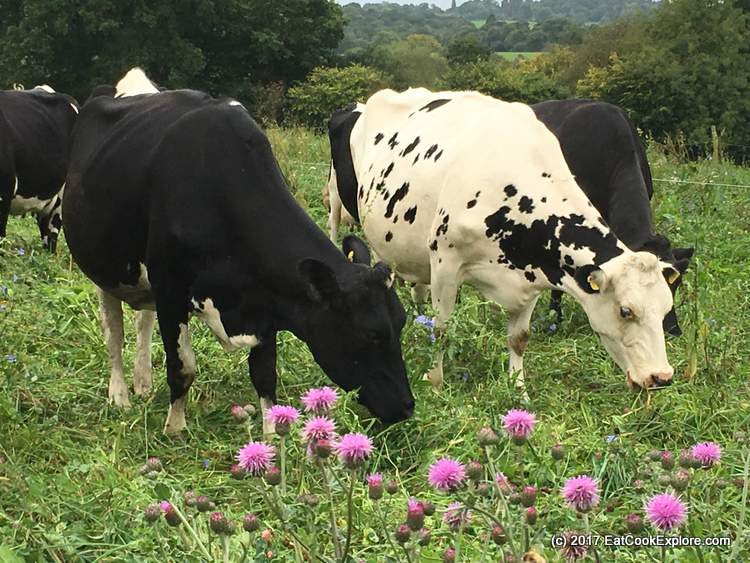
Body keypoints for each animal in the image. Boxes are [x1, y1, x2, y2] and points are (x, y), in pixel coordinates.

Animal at [63, 69, 414, 434]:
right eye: (371, 334)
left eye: (401, 322)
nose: (406, 406)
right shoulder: (171, 291)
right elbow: (182, 368)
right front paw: (175, 429)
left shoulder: (267, 302)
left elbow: (265, 375)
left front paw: (272, 435)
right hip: (105, 268)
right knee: (114, 333)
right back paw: (120, 394)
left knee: (141, 323)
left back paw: (143, 382)